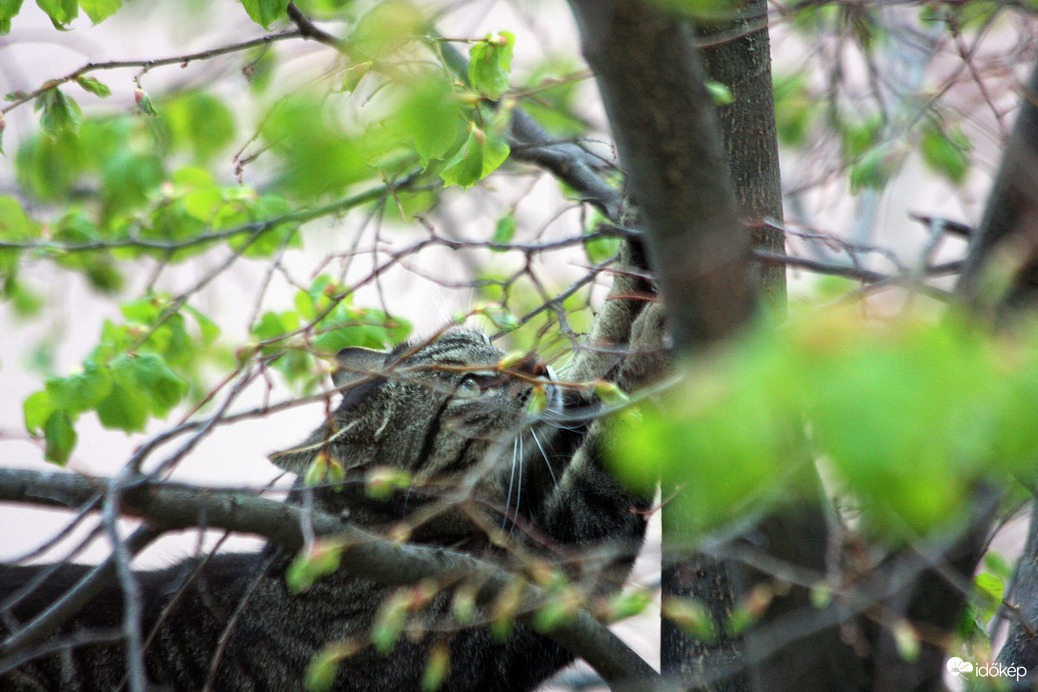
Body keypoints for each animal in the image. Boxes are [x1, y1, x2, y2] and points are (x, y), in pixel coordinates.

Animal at [2, 294, 664, 688]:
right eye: (470, 385)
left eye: (490, 348)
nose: (536, 364)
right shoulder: (522, 609)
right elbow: (601, 486)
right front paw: (649, 347)